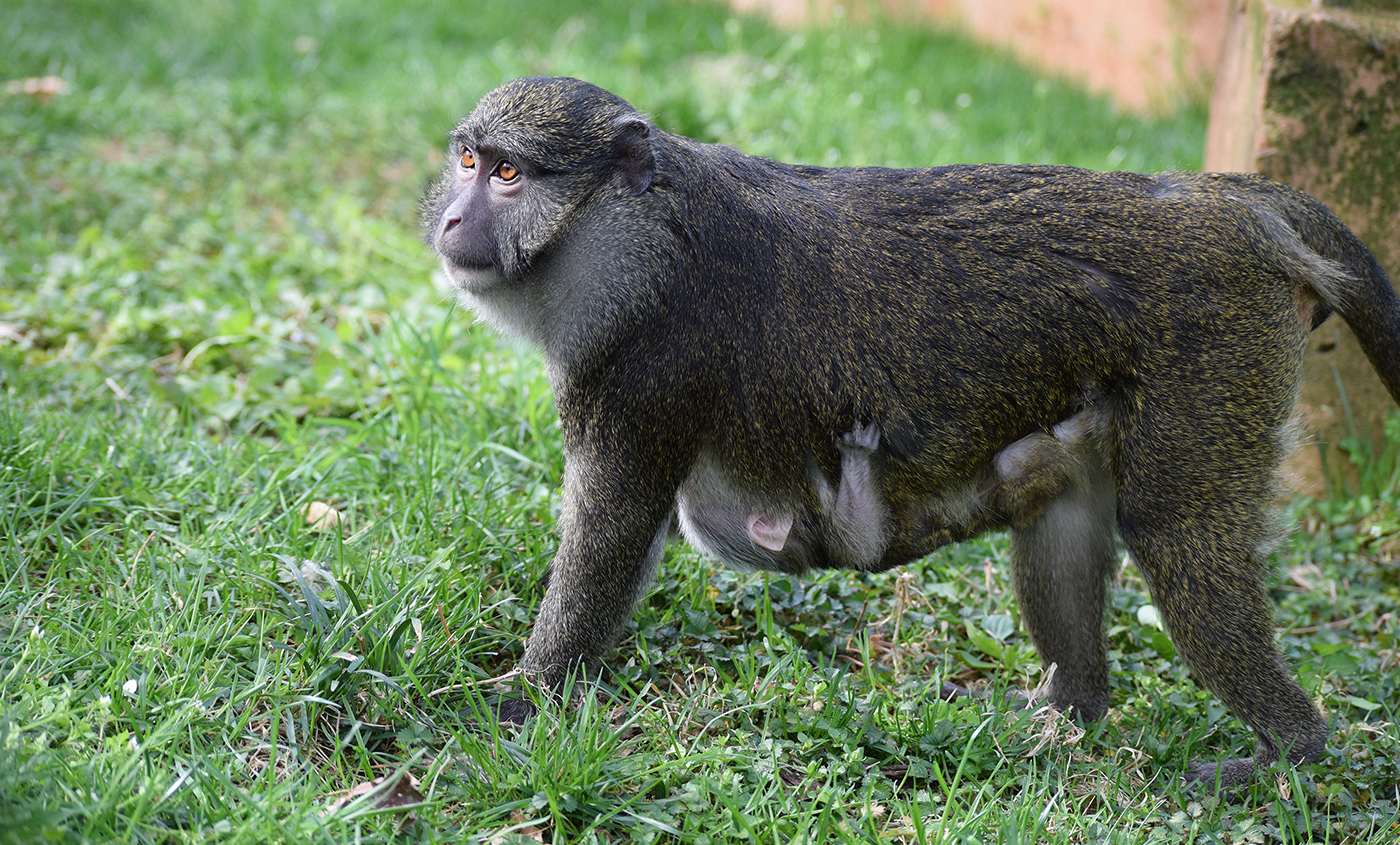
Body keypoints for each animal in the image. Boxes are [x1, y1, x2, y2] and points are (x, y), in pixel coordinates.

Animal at [420, 74, 1400, 794]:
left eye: (508, 176)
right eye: (468, 159)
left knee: (1178, 531)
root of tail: (1224, 205)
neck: (643, 232)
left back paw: (1292, 748)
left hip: (1215, 359)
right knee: (1064, 509)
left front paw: (517, 701)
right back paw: (1073, 712)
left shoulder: (646, 369)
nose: (452, 218)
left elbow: (612, 528)